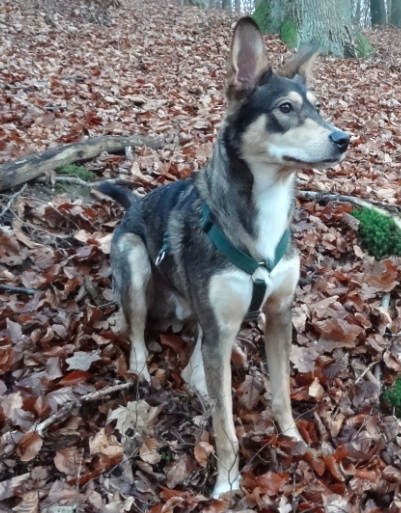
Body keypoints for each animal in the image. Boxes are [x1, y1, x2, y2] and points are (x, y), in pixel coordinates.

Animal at [98, 19, 348, 496]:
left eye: (319, 108)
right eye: (285, 108)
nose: (344, 139)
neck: (263, 209)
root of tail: (134, 204)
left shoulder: (279, 313)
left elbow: (282, 393)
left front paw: (292, 441)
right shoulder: (222, 325)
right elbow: (225, 426)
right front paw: (227, 484)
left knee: (196, 364)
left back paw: (197, 383)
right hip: (136, 260)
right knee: (136, 330)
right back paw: (141, 369)